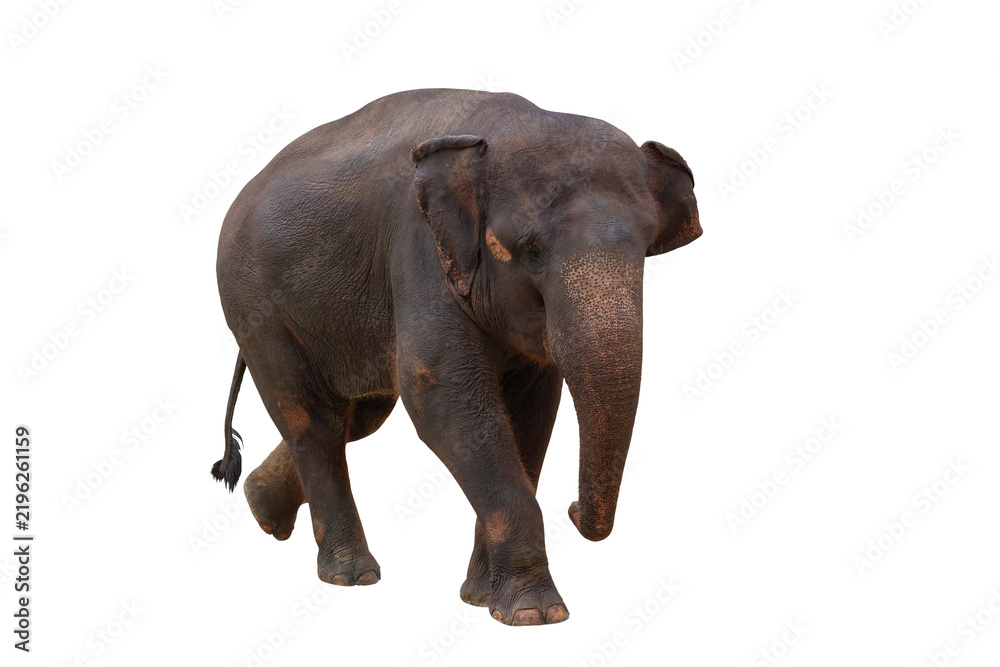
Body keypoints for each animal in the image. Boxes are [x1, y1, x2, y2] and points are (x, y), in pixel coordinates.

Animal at [211, 88, 701, 626]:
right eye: (531, 253)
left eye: (645, 249)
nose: (573, 510)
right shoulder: (422, 253)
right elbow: (443, 402)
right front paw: (534, 614)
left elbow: (530, 415)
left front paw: (482, 599)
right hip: (255, 304)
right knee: (313, 421)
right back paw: (352, 576)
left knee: (358, 416)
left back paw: (260, 508)